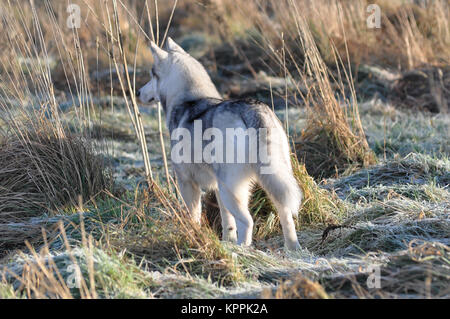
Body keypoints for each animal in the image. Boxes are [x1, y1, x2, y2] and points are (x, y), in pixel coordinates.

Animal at [135, 38, 300, 250]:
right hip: (272, 181)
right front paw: (226, 243)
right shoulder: (216, 189)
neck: (189, 99)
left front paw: (195, 238)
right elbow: (227, 223)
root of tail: (253, 110)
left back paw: (243, 250)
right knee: (285, 215)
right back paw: (293, 250)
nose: (138, 92)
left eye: (152, 75)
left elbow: (193, 218)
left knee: (247, 221)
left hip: (231, 188)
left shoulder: (187, 182)